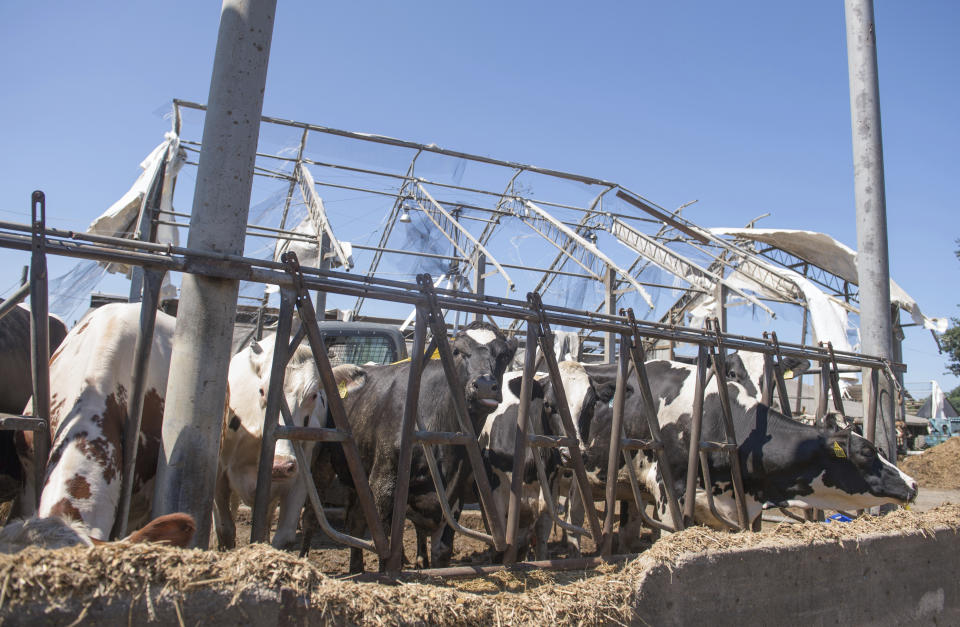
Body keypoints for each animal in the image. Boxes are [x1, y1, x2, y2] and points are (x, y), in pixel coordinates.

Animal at [217, 332, 336, 552]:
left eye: (314, 395)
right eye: (262, 391)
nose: (280, 465)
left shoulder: (299, 479)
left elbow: (284, 537)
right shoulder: (218, 473)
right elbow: (225, 528)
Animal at [316, 324, 516, 576]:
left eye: (504, 356)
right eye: (457, 351)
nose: (485, 386)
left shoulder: (455, 493)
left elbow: (442, 550)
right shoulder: (383, 482)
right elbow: (385, 544)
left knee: (355, 519)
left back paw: (357, 568)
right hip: (325, 465)